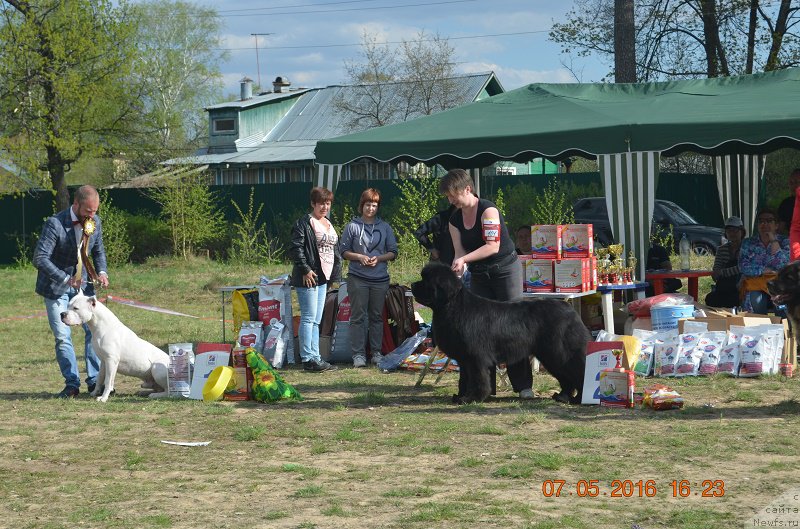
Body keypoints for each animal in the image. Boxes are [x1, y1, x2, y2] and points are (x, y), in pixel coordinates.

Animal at [412, 262, 588, 402]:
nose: (413, 285)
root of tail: (570, 310)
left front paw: (472, 398)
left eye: (426, 281)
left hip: (559, 353)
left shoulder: (476, 357)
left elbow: (477, 379)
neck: (453, 307)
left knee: (578, 372)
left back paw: (579, 399)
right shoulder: (465, 359)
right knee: (566, 377)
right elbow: (466, 379)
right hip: (550, 356)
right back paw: (562, 396)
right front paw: (461, 396)